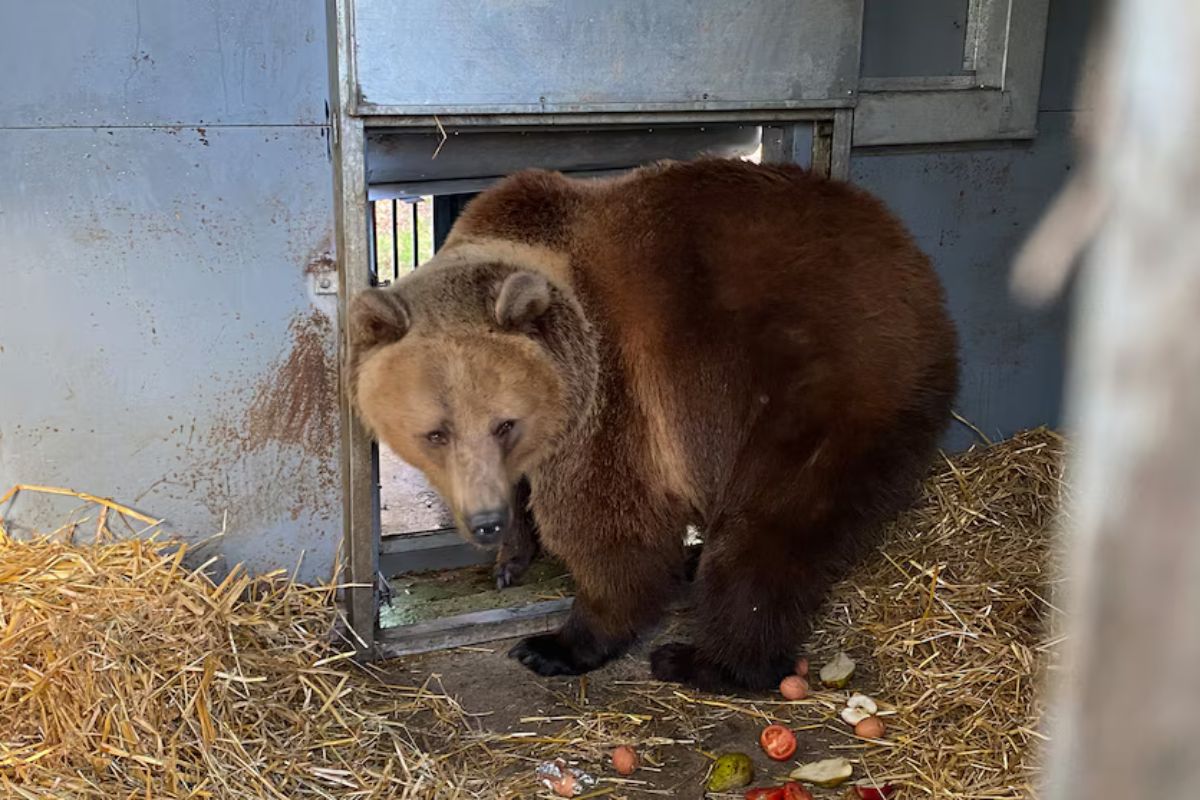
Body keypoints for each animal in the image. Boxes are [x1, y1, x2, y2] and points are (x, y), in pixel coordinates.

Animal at [345, 159, 955, 690]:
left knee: (768, 530)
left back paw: (705, 660)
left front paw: (556, 644)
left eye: (504, 423)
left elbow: (613, 530)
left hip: (818, 389)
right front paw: (511, 557)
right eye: (436, 433)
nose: (485, 523)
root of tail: (914, 265)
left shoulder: (615, 396)